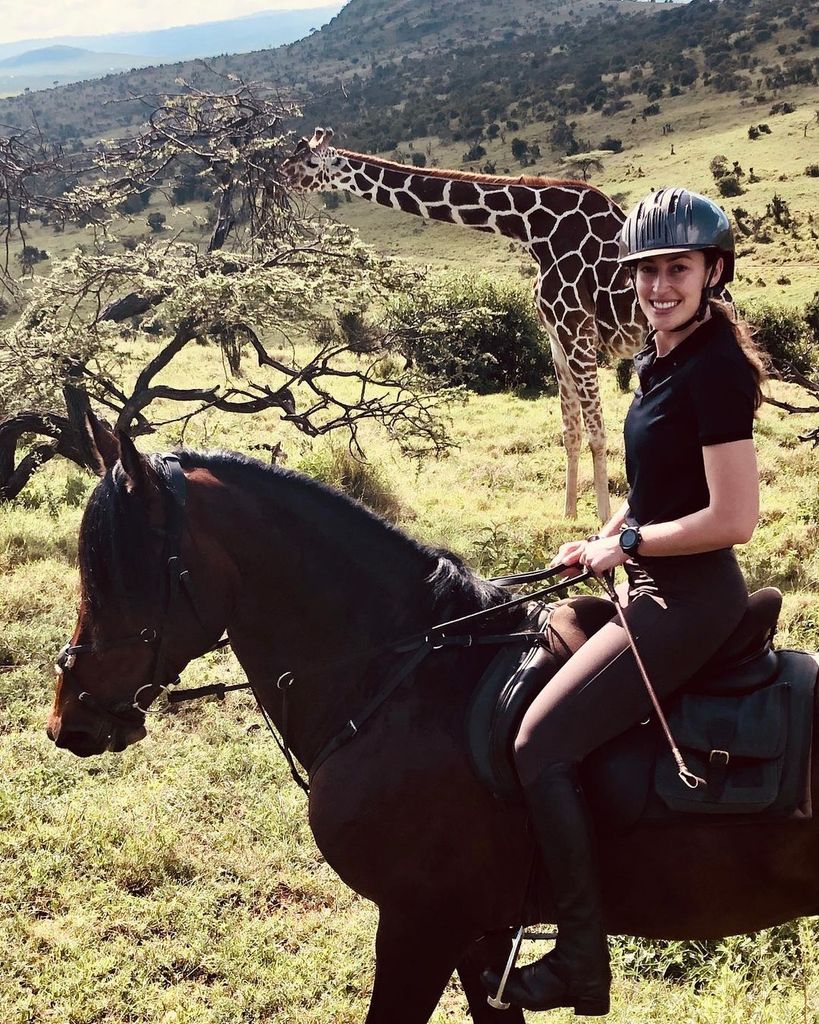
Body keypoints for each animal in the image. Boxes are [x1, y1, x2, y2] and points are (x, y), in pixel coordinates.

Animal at [282, 130, 647, 520]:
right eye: (293, 155)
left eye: (309, 162)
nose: (282, 173)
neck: (533, 229)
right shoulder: (556, 335)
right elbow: (571, 430)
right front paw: (568, 515)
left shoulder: (577, 327)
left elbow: (597, 432)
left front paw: (604, 519)